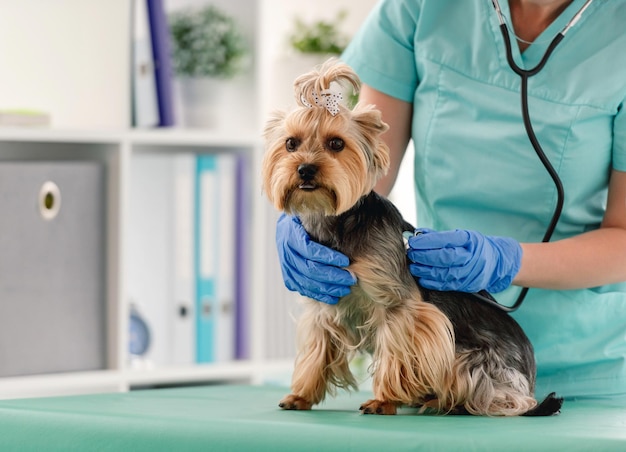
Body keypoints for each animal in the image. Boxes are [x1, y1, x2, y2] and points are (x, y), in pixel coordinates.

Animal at [260, 60, 564, 416]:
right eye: (290, 144)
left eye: (336, 144)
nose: (305, 169)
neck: (337, 224)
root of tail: (529, 382)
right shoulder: (324, 300)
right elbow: (316, 351)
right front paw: (302, 394)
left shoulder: (399, 307)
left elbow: (397, 350)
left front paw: (383, 400)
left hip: (473, 362)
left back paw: (441, 401)